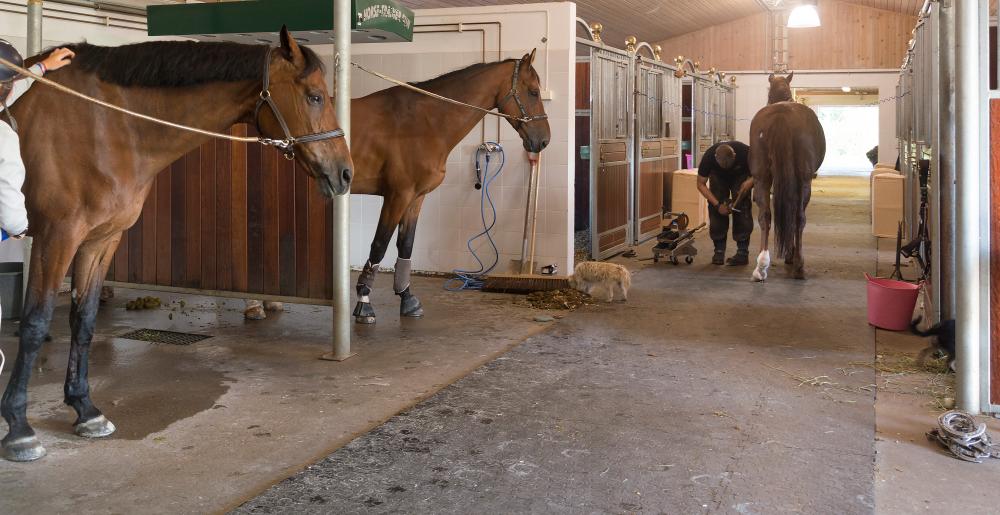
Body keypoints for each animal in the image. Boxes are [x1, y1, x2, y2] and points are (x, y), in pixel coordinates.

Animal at [0, 28, 356, 464]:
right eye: (316, 96)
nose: (345, 173)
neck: (107, 123)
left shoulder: (101, 239)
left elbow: (83, 321)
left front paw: (85, 409)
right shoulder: (57, 236)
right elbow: (35, 324)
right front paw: (19, 428)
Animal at [752, 71, 828, 282]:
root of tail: (781, 114)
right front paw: (791, 255)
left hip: (761, 177)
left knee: (765, 216)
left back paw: (761, 267)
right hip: (804, 180)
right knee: (799, 216)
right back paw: (798, 265)